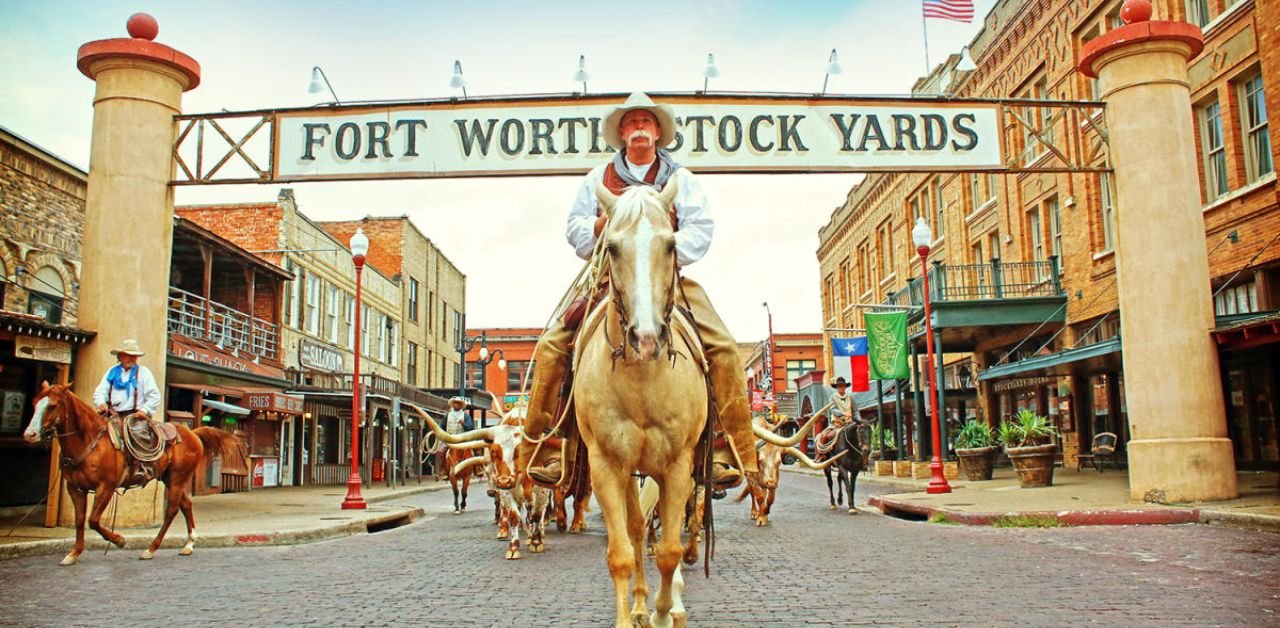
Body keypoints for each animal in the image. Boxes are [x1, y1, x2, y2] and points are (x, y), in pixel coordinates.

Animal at [21, 381, 240, 567]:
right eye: (35, 403)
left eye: (52, 406)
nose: (30, 434)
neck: (89, 442)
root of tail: (193, 433)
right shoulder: (75, 488)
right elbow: (80, 520)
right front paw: (73, 553)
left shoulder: (106, 487)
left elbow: (93, 520)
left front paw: (119, 540)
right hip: (170, 478)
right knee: (185, 505)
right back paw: (188, 544)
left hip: (178, 478)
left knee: (172, 511)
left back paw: (150, 549)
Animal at [578, 179, 706, 626]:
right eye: (612, 248)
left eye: (670, 244)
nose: (646, 338)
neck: (641, 382)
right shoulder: (605, 466)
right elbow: (620, 552)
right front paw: (632, 612)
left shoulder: (678, 465)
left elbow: (668, 551)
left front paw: (666, 611)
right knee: (634, 530)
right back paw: (637, 603)